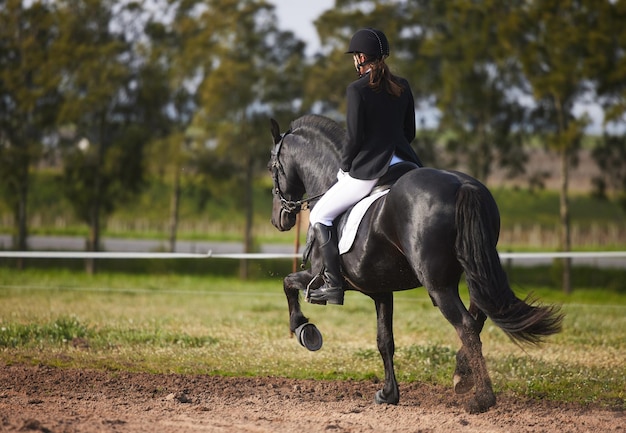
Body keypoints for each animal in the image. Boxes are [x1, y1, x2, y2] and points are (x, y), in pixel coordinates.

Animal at [266, 114, 564, 412]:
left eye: (272, 167)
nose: (278, 219)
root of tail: (462, 185)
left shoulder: (323, 276)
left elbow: (288, 284)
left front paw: (304, 330)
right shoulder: (380, 290)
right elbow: (384, 340)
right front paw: (389, 394)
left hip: (438, 284)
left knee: (466, 325)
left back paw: (482, 398)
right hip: (475, 269)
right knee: (480, 314)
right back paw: (462, 376)